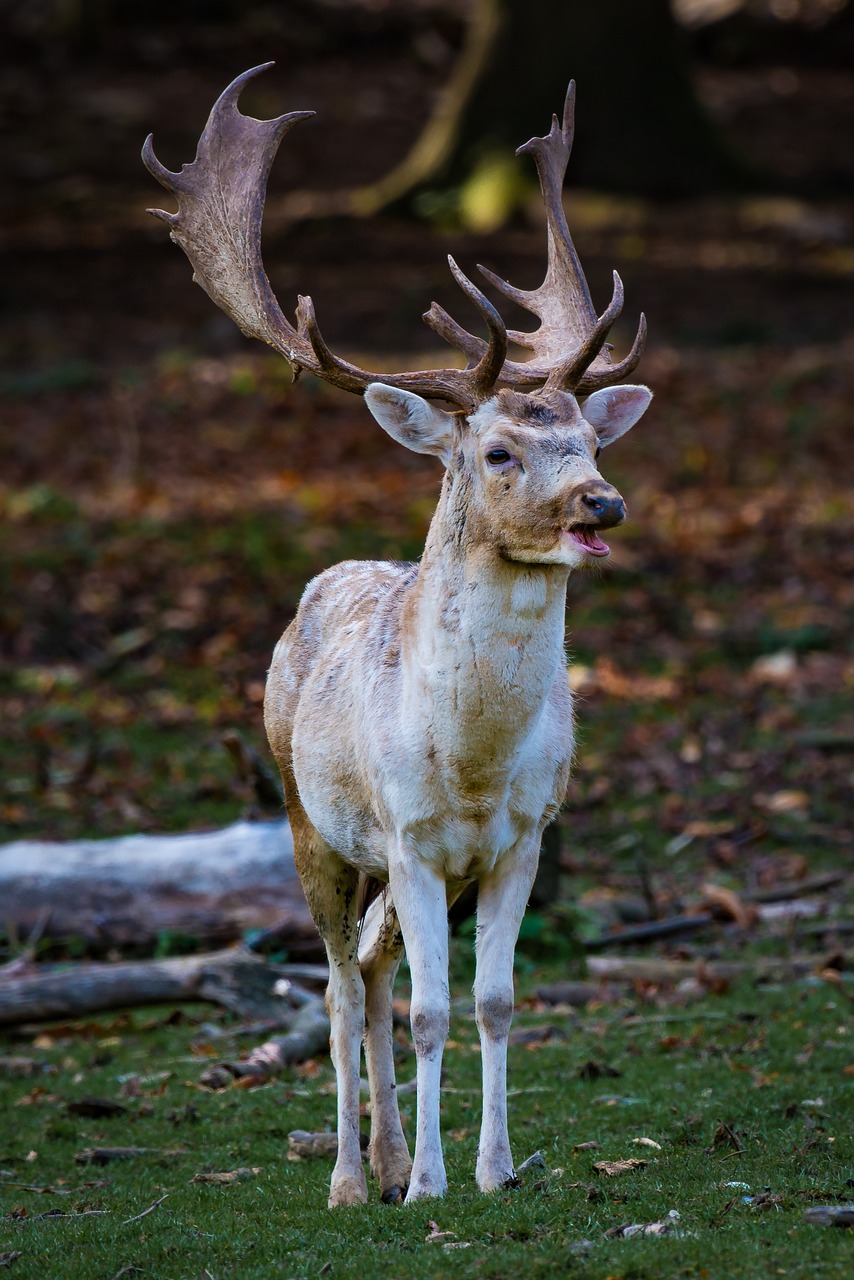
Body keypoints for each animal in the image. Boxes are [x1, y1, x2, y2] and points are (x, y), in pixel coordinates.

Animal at [143, 64, 650, 1203]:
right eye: (498, 450)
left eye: (593, 440)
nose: (602, 503)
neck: (468, 764)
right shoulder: (411, 838)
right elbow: (428, 1010)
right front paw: (427, 1185)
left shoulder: (523, 836)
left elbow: (492, 1002)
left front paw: (490, 1171)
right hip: (307, 821)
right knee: (339, 984)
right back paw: (348, 1176)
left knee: (372, 971)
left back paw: (379, 1156)